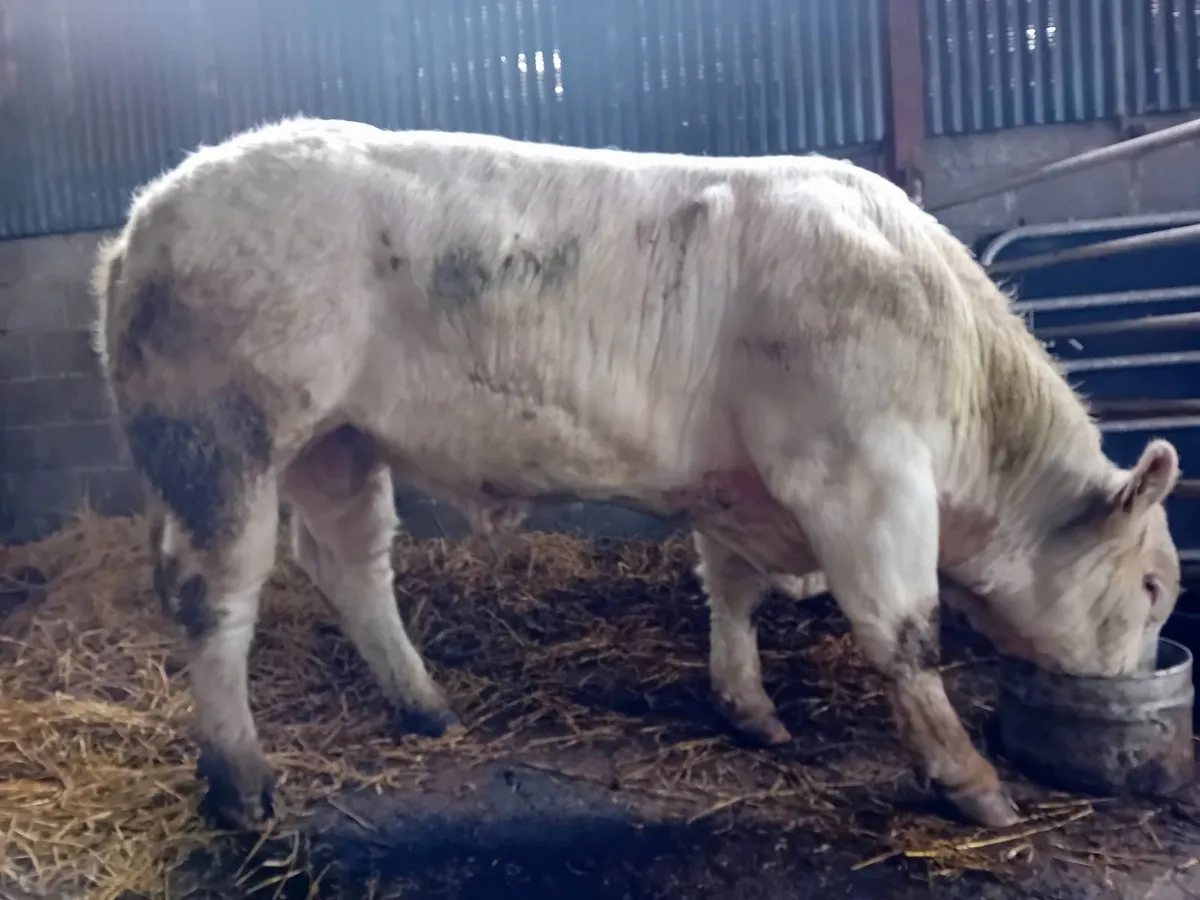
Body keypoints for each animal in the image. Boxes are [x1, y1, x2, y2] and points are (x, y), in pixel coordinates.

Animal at [91, 117, 1181, 832]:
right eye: (1154, 585)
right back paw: (241, 782)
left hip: (341, 442)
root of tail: (148, 212)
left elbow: (730, 593)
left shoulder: (737, 480)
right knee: (215, 596)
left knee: (350, 564)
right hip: (220, 435)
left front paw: (750, 711)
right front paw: (972, 783)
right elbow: (904, 632)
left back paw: (425, 706)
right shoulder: (861, 473)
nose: (1132, 684)